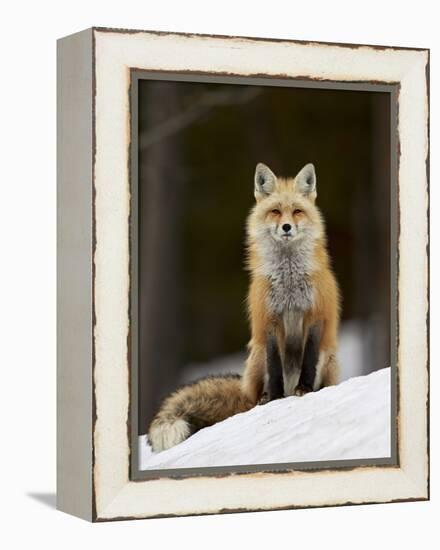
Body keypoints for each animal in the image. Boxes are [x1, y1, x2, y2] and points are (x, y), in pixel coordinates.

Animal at [148, 163, 340, 452]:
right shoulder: (268, 320)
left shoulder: (315, 315)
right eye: (275, 211)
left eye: (297, 211)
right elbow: (274, 367)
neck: (288, 279)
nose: (286, 227)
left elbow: (308, 359)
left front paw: (305, 390)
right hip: (256, 356)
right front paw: (275, 398)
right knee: (257, 390)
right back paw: (263, 399)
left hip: (328, 358)